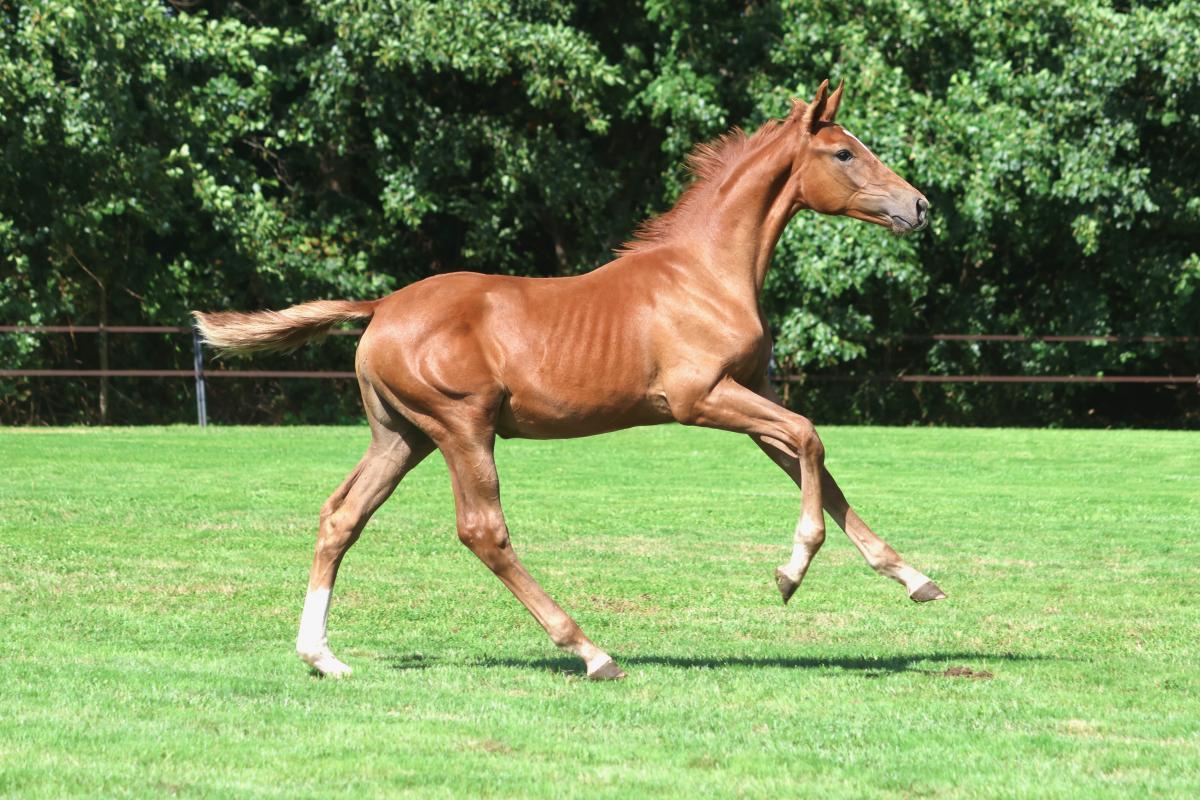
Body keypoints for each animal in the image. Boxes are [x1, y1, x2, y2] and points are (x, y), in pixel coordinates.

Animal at [195, 80, 943, 681]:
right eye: (843, 153)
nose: (920, 206)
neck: (704, 272)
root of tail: (380, 308)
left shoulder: (749, 391)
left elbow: (820, 471)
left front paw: (914, 578)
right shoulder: (700, 399)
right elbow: (812, 440)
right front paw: (790, 573)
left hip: (401, 435)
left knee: (342, 516)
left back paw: (322, 656)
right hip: (462, 427)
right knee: (483, 531)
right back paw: (592, 652)